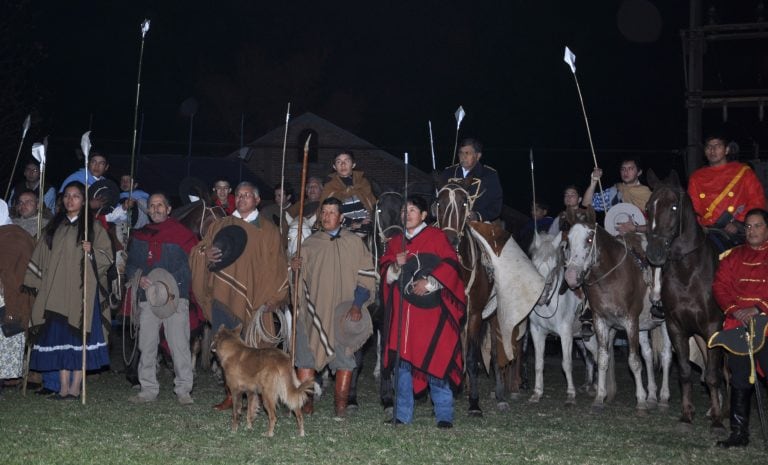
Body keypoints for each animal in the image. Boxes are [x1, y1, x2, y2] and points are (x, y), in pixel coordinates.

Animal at [528, 234, 600, 404]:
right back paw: (590, 386)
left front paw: (571, 395)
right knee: (591, 358)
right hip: (583, 339)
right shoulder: (537, 332)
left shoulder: (565, 334)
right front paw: (537, 393)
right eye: (534, 263)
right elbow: (539, 363)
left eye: (554, 266)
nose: (540, 297)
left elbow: (566, 363)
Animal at [560, 208, 668, 412]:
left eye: (589, 239)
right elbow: (602, 358)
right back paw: (652, 395)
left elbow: (634, 361)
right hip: (643, 326)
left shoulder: (630, 321)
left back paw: (663, 396)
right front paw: (599, 398)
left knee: (666, 356)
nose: (570, 276)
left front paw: (640, 401)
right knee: (648, 355)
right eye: (568, 241)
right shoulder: (601, 321)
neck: (610, 278)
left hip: (665, 323)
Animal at [640, 170, 728, 432]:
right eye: (648, 208)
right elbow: (686, 371)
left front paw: (718, 420)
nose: (655, 253)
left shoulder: (713, 328)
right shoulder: (676, 327)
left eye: (674, 206)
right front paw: (687, 414)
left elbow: (712, 375)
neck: (688, 273)